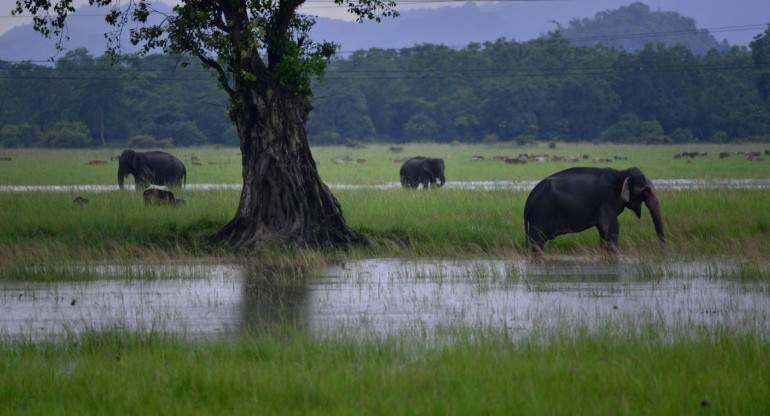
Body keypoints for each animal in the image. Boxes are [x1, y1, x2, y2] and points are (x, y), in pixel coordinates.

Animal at [524, 167, 664, 255]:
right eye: (646, 191)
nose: (661, 251)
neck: (621, 174)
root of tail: (528, 199)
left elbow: (603, 230)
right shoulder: (606, 200)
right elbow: (613, 228)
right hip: (541, 213)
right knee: (537, 243)